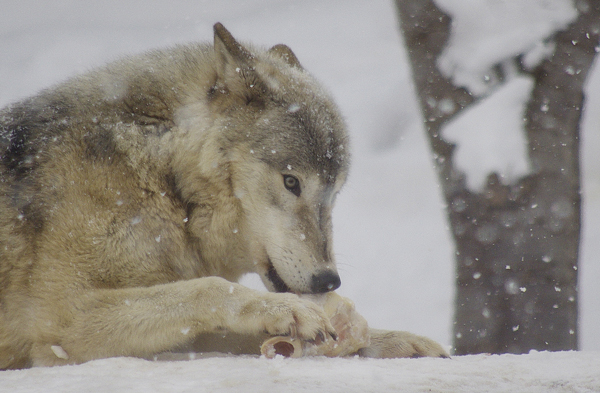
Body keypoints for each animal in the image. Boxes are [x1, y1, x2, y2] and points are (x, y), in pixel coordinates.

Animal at [0, 23, 446, 368]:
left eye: (334, 192)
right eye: (291, 182)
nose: (328, 279)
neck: (164, 183)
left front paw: (388, 341)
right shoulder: (61, 318)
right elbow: (206, 288)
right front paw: (282, 310)